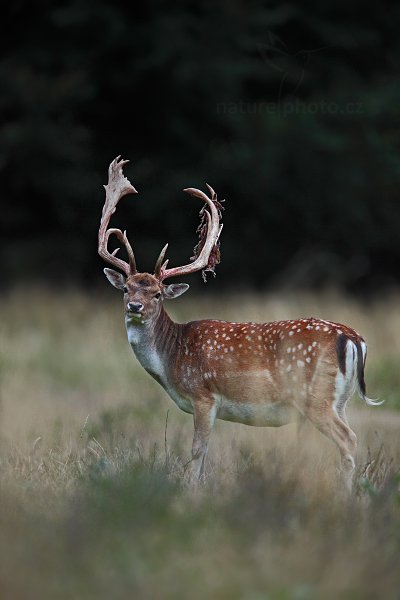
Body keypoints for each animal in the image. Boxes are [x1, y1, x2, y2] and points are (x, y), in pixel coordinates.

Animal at [98, 156, 380, 492]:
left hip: (315, 397)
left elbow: (197, 451)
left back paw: (345, 496)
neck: (172, 360)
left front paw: (191, 492)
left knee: (349, 440)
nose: (135, 306)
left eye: (157, 293)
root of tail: (353, 339)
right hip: (340, 400)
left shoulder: (204, 395)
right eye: (126, 289)